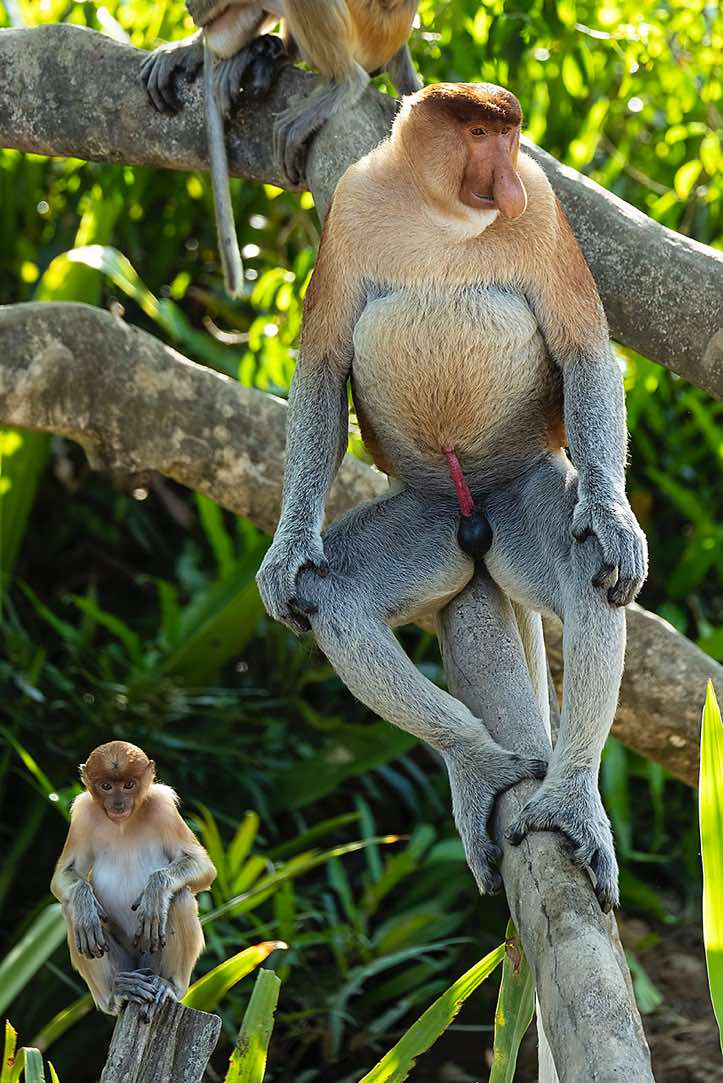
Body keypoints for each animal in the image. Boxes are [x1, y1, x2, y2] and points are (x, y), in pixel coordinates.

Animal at [51, 741, 216, 1020]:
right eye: (107, 786)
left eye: (129, 784)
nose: (118, 805)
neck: (123, 824)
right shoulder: (83, 814)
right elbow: (63, 874)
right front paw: (85, 906)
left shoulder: (164, 808)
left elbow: (203, 867)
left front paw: (154, 895)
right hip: (126, 965)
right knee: (68, 906)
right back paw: (119, 993)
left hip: (152, 957)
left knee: (181, 895)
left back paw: (168, 985)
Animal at [256, 82, 648, 913]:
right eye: (475, 133)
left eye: (510, 135)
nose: (501, 183)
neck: (438, 216)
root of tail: (472, 514)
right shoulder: (352, 206)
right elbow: (321, 362)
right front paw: (286, 550)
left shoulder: (542, 209)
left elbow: (583, 349)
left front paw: (614, 518)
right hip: (429, 517)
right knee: (333, 597)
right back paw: (475, 760)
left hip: (517, 492)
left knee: (588, 568)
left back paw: (570, 797)